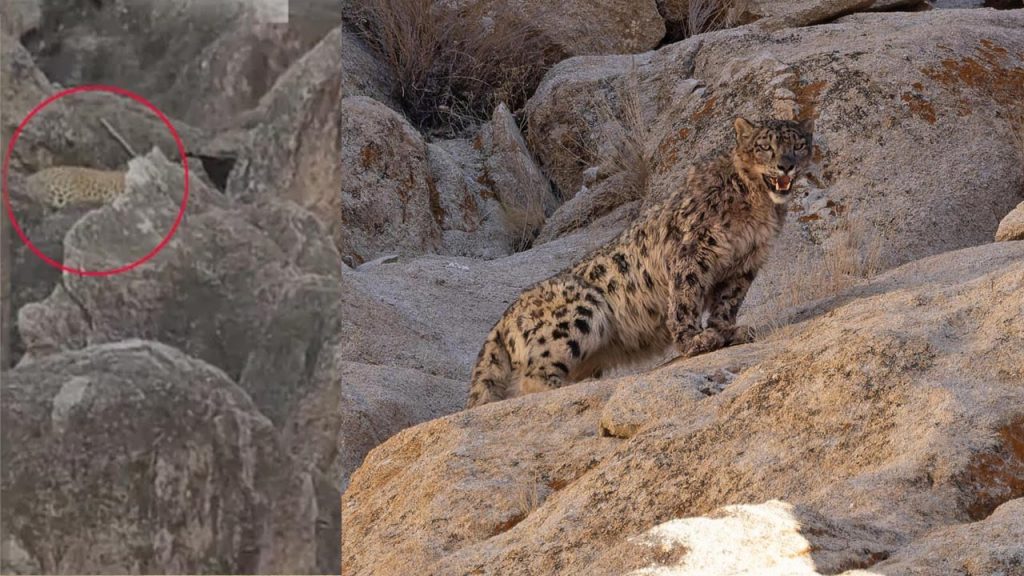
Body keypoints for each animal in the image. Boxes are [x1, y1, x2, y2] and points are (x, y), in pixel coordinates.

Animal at [467, 116, 814, 407]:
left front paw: (728, 330)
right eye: (765, 146)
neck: (757, 207)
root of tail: (503, 318)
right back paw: (570, 388)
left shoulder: (745, 263)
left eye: (797, 145)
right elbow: (685, 299)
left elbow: (728, 302)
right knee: (532, 378)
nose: (785, 166)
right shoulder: (692, 252)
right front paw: (695, 339)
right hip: (580, 311)